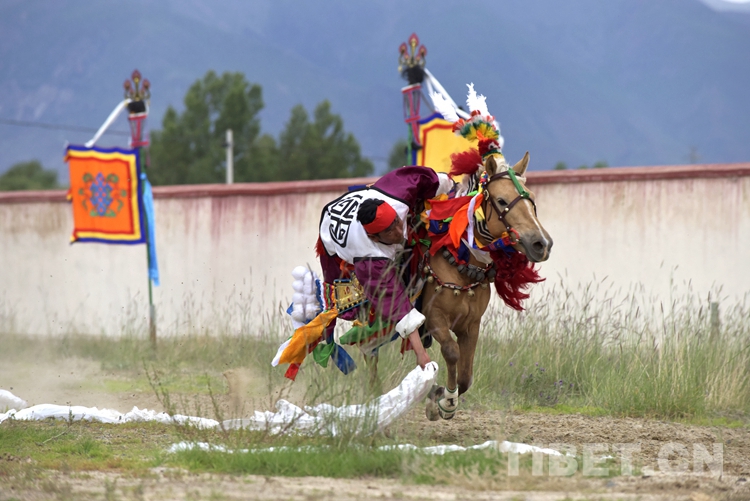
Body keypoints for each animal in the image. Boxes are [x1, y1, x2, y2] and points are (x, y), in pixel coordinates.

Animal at [419, 151, 553, 420]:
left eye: (532, 198)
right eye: (501, 201)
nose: (541, 243)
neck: (461, 265)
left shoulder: (471, 325)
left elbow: (466, 376)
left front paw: (441, 397)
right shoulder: (435, 317)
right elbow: (451, 352)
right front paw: (443, 402)